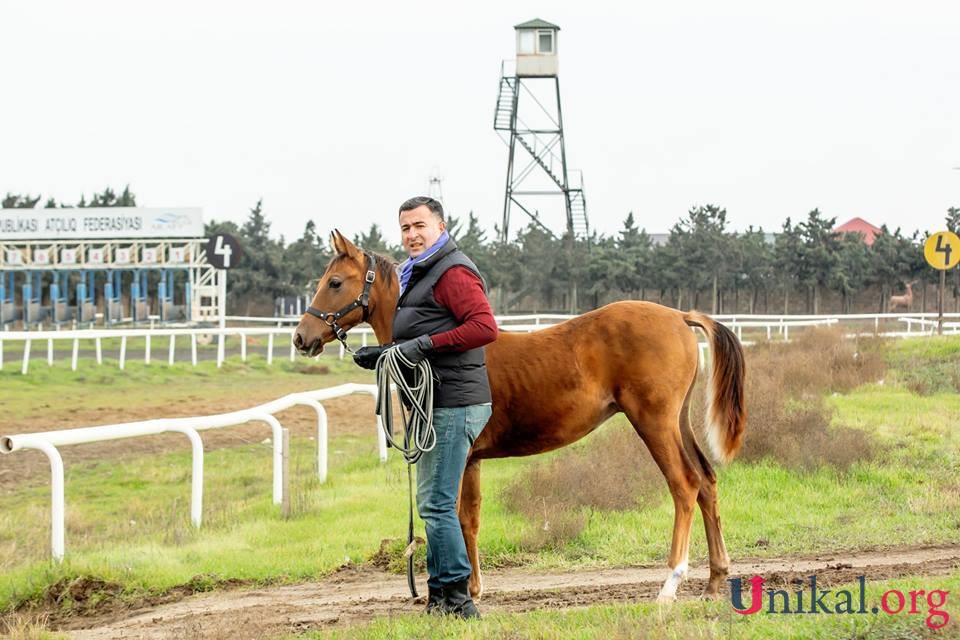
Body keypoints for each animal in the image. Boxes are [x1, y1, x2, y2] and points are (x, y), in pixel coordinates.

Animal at [294, 232, 752, 604]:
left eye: (335, 283)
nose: (302, 337)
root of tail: (679, 316)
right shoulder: (471, 460)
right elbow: (469, 519)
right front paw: (470, 587)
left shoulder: (456, 453)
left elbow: (457, 516)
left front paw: (463, 591)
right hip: (679, 424)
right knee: (707, 483)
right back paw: (715, 580)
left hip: (654, 424)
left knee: (685, 485)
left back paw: (670, 583)